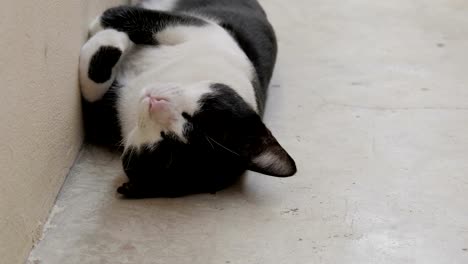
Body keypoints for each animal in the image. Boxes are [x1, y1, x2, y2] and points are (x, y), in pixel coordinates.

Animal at [77, 0, 296, 198]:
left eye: (165, 144)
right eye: (201, 117)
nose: (156, 103)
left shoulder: (104, 117)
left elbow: (92, 88)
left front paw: (108, 36)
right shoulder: (208, 35)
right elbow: (143, 20)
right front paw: (108, 25)